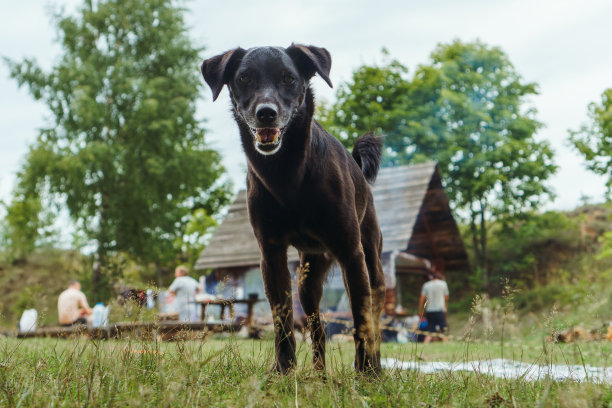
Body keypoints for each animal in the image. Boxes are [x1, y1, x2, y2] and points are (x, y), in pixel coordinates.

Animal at [202, 44, 382, 372]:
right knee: (318, 330)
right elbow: (282, 321)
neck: (286, 173)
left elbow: (363, 322)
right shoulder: (271, 255)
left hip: (369, 265)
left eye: (289, 78)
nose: (266, 113)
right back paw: (318, 374)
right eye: (244, 78)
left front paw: (367, 373)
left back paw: (373, 364)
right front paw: (283, 370)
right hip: (307, 283)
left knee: (372, 317)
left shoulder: (352, 253)